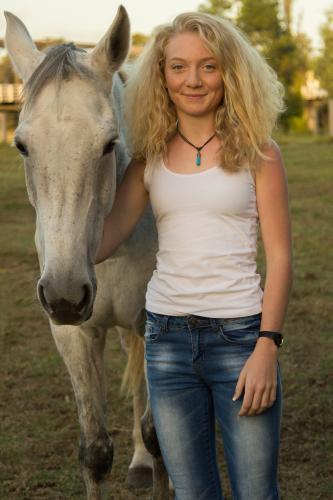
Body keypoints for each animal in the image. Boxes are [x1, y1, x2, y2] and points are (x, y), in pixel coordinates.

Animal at [3, 7, 167, 500]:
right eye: (22, 145)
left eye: (109, 144)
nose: (64, 295)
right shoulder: (72, 335)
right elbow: (95, 451)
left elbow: (159, 433)